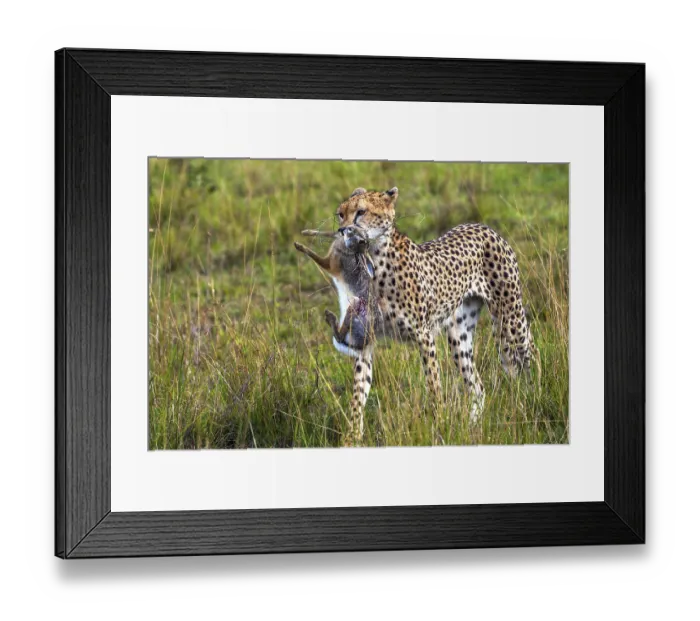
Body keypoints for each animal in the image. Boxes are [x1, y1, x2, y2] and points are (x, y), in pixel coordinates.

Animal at [332, 186, 537, 444]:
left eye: (361, 212)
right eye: (340, 214)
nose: (342, 231)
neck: (373, 260)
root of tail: (482, 226)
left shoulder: (424, 335)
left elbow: (434, 385)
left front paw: (439, 425)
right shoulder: (365, 338)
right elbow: (359, 392)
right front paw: (352, 437)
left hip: (509, 319)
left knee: (530, 348)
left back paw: (538, 393)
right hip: (459, 336)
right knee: (477, 387)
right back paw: (472, 428)